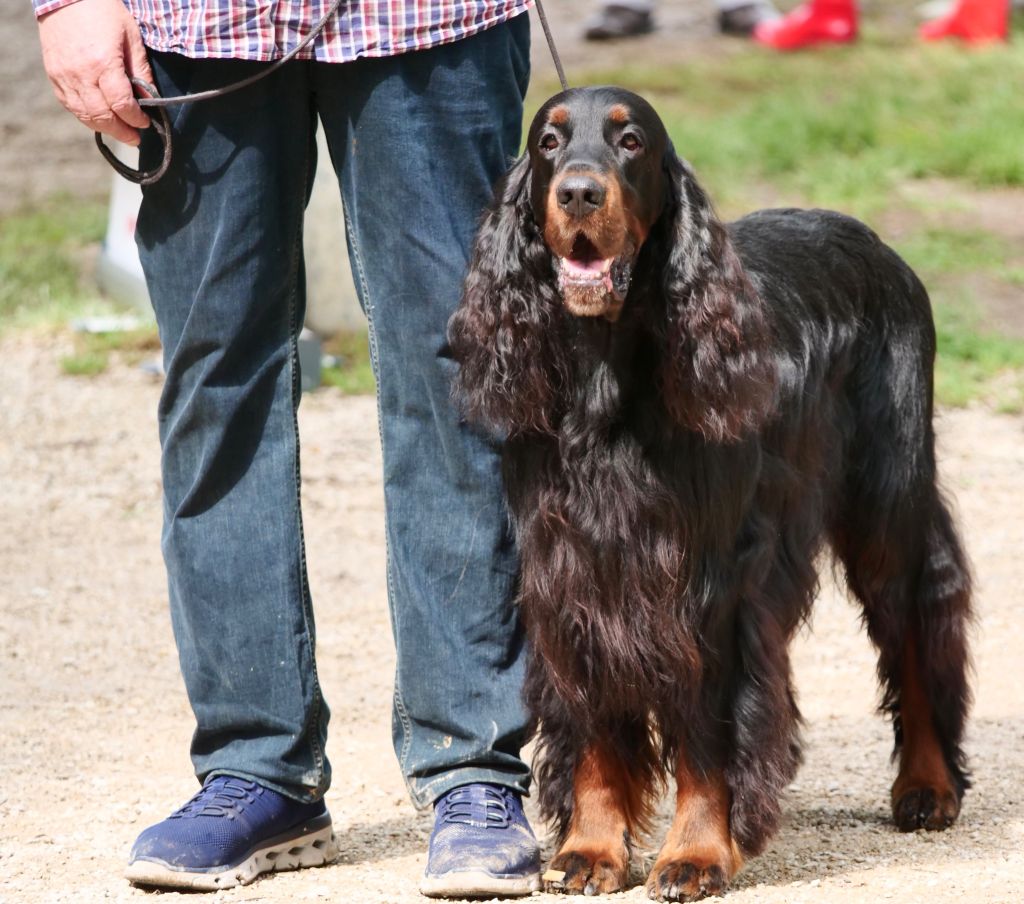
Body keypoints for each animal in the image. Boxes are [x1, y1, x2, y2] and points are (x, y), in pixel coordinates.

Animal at [450, 86, 974, 896]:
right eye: (547, 142)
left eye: (631, 140)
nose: (579, 192)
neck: (605, 376)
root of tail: (876, 243)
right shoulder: (574, 575)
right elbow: (595, 726)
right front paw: (592, 848)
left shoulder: (714, 586)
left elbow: (709, 737)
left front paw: (696, 853)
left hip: (886, 498)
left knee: (915, 624)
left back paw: (928, 784)